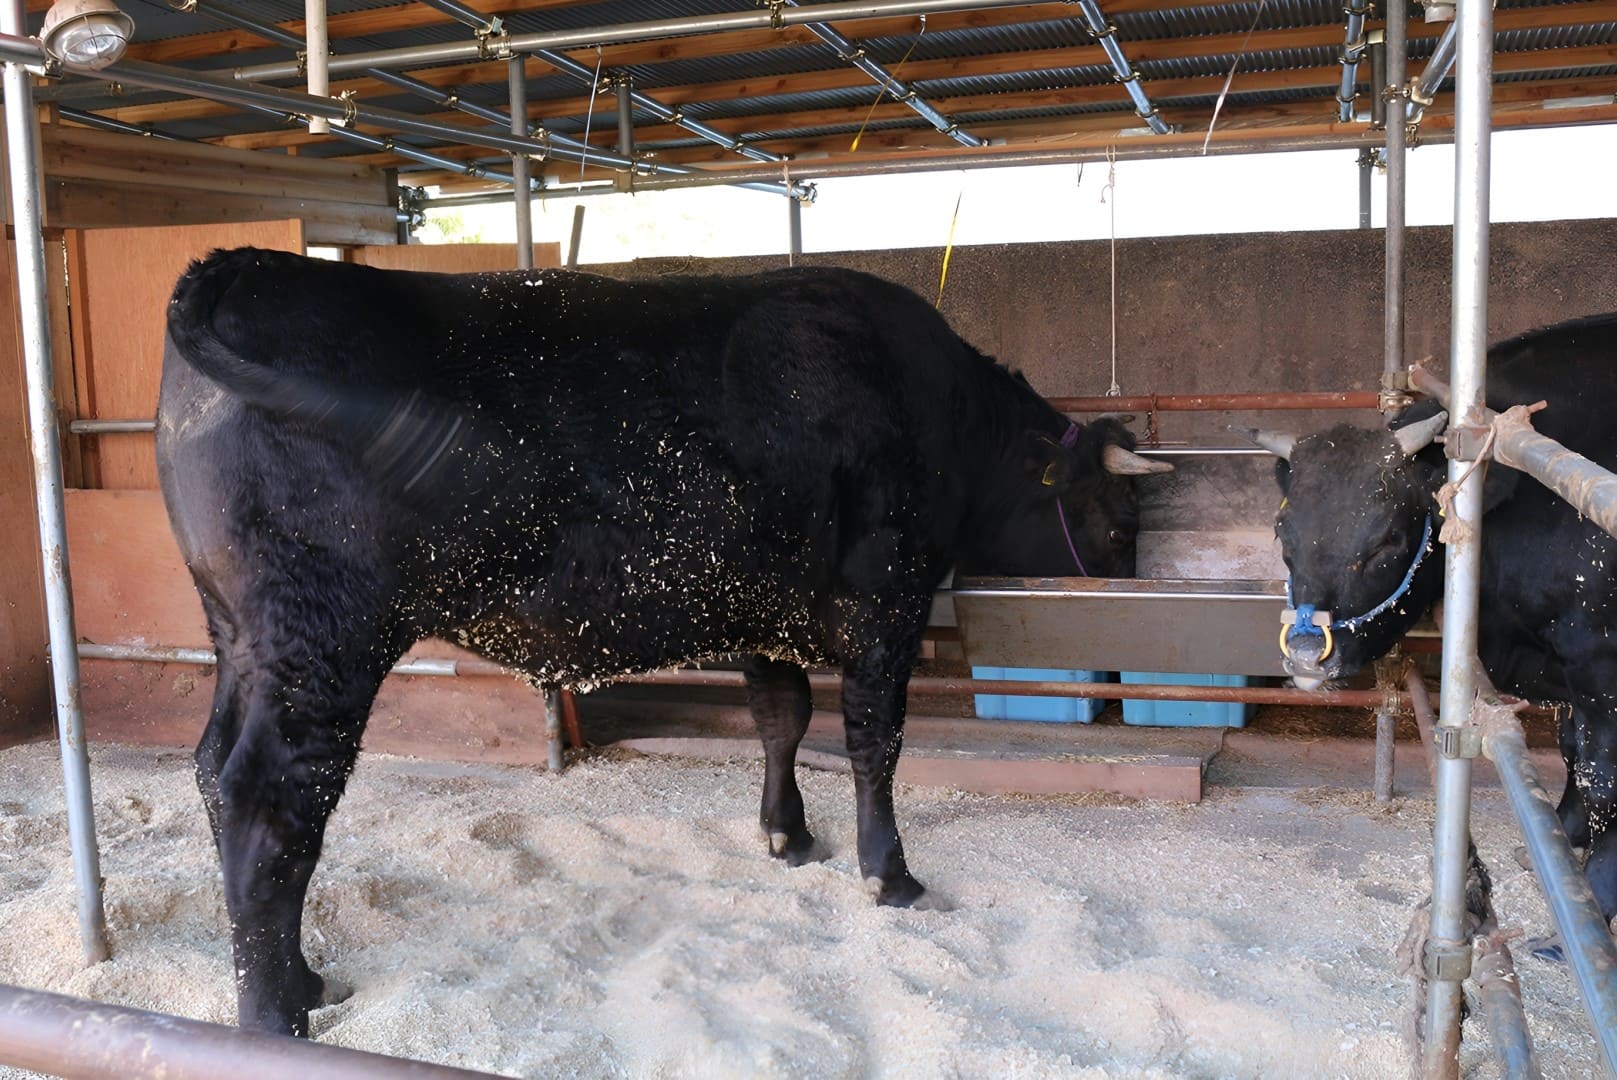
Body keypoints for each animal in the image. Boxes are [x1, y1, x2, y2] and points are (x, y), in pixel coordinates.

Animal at [154, 248, 1177, 1034]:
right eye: (1119, 521)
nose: (1123, 638)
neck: (937, 409)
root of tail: (245, 263)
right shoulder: (884, 601)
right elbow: (872, 742)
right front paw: (887, 874)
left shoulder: (767, 605)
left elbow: (780, 719)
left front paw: (785, 834)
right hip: (321, 634)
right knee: (269, 800)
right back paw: (274, 1014)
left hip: (240, 633)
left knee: (212, 770)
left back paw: (302, 979)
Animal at [1248, 313, 1617, 931]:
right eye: (1284, 534)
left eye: (1388, 541)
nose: (1303, 652)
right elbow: (1573, 753)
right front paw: (1560, 843)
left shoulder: (1600, 667)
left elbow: (1603, 776)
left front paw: (1597, 895)